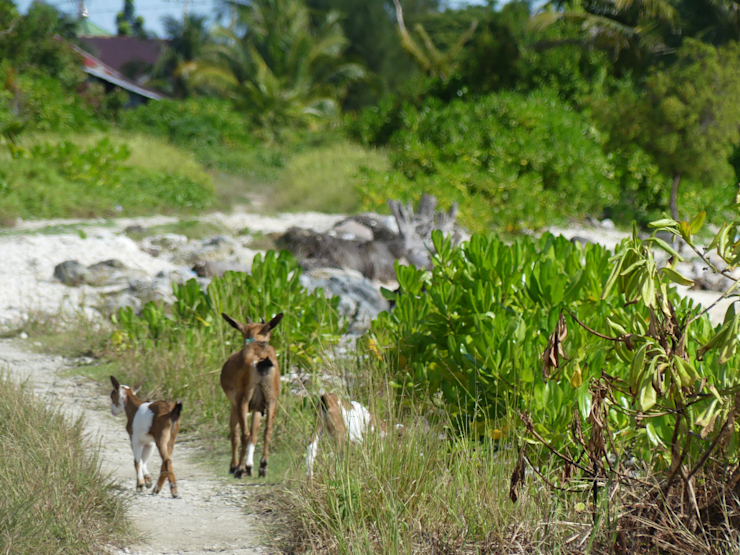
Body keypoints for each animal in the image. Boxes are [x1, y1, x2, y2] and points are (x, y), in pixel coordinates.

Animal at [220, 312, 284, 478]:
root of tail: (262, 360)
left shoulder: (235, 404)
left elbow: (236, 434)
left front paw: (236, 466)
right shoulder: (258, 407)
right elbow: (255, 433)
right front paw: (250, 466)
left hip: (243, 399)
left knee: (244, 434)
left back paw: (239, 470)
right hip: (272, 399)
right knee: (267, 431)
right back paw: (263, 466)